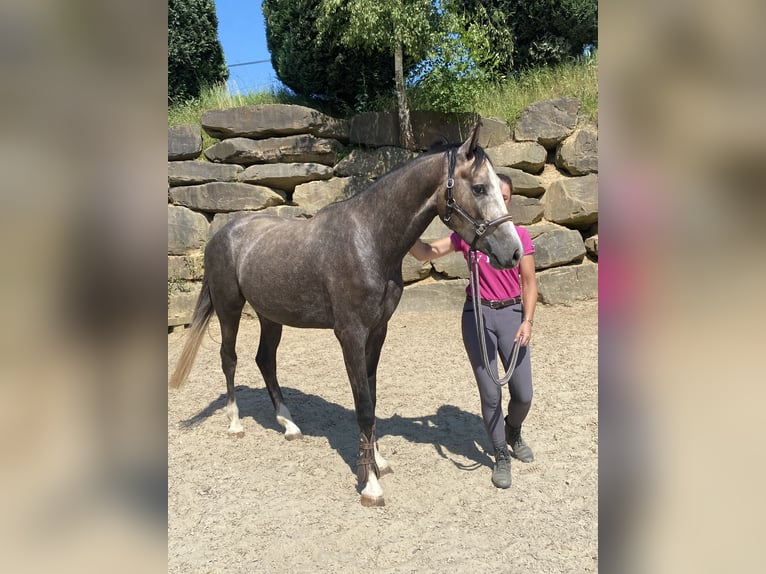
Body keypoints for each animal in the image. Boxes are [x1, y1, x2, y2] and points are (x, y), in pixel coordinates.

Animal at [170, 124, 524, 506]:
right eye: (479, 187)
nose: (513, 252)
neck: (368, 240)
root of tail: (222, 233)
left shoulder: (377, 332)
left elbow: (372, 397)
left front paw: (378, 462)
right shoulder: (351, 335)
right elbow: (364, 405)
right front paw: (370, 485)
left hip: (270, 316)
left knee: (265, 360)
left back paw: (289, 425)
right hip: (229, 308)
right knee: (229, 358)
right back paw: (235, 423)